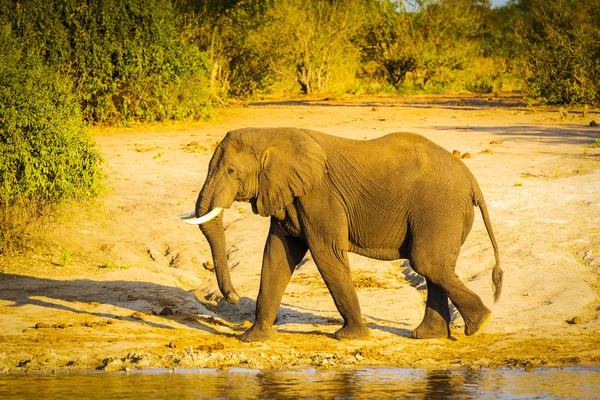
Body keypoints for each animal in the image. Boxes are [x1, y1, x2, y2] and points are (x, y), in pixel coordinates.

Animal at [179, 126, 502, 342]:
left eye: (232, 172)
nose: (232, 298)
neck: (272, 133)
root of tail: (472, 181)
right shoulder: (290, 197)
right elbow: (277, 256)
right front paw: (253, 339)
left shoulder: (321, 196)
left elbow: (326, 253)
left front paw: (350, 337)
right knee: (434, 267)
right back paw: (430, 335)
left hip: (439, 209)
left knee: (427, 263)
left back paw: (479, 324)